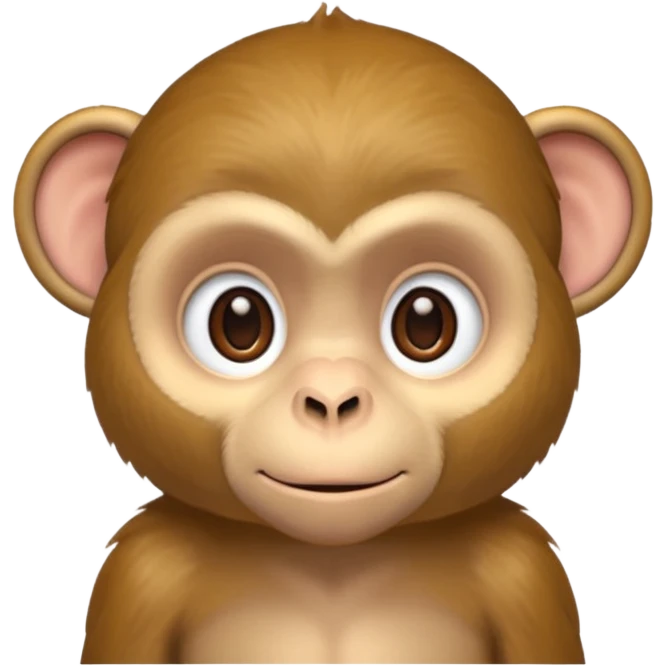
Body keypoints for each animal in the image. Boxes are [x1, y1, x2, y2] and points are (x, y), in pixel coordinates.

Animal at [12, 5, 653, 665]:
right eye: (239, 322)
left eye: (425, 321)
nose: (331, 399)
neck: (333, 562)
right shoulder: (144, 572)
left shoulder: (521, 572)